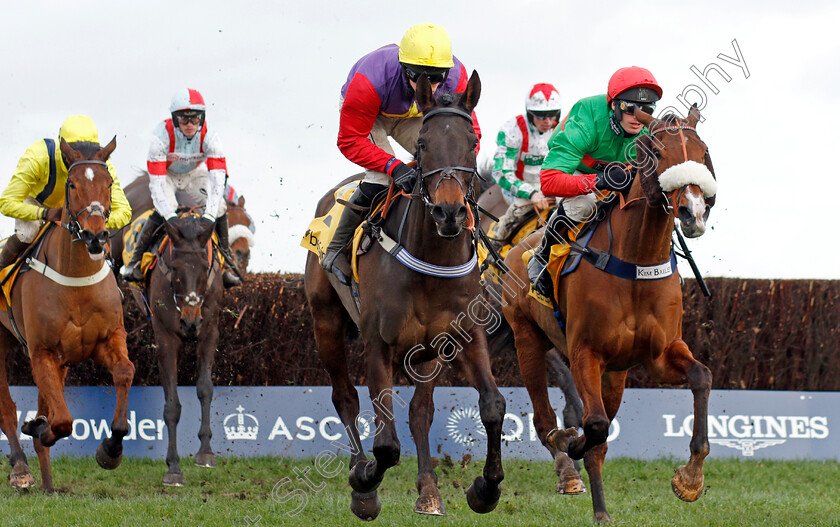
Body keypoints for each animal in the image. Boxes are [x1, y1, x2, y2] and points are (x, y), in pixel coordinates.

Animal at [0, 137, 134, 490]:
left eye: (109, 183)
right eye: (72, 184)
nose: (95, 236)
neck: (75, 281)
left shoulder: (106, 339)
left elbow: (124, 372)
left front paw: (111, 449)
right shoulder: (41, 351)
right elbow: (61, 422)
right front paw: (37, 427)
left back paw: (48, 485)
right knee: (7, 408)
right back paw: (20, 468)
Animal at [306, 72, 506, 520]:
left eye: (473, 141)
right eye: (424, 144)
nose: (449, 213)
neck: (432, 259)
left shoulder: (461, 337)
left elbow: (491, 405)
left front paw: (485, 489)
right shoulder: (377, 341)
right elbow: (385, 443)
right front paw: (364, 484)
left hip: (427, 351)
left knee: (419, 412)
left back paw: (429, 490)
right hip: (325, 320)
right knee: (345, 398)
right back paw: (360, 473)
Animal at [502, 108, 720, 524]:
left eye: (703, 151)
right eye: (656, 151)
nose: (693, 212)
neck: (636, 262)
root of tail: (519, 245)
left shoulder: (658, 354)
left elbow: (702, 376)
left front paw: (690, 479)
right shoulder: (585, 352)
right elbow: (595, 425)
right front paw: (573, 442)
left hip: (616, 373)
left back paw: (599, 506)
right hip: (526, 336)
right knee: (545, 421)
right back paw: (567, 457)